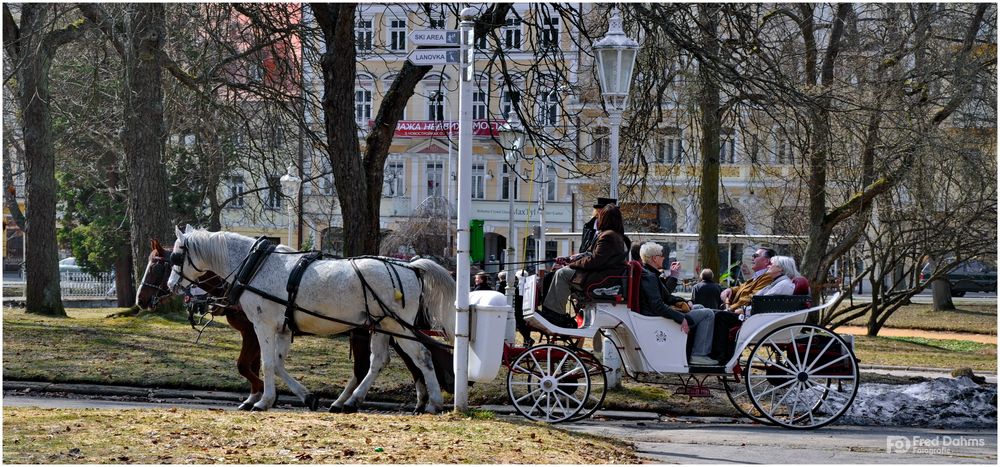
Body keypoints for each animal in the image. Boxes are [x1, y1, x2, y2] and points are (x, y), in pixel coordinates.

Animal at [168, 227, 458, 414]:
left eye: (177, 256)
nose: (171, 285)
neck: (257, 265)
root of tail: (410, 267)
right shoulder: (283, 328)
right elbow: (278, 364)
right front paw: (307, 397)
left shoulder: (263, 325)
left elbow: (267, 363)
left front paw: (263, 401)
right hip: (381, 326)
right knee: (378, 361)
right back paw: (351, 401)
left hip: (398, 326)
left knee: (422, 357)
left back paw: (433, 402)